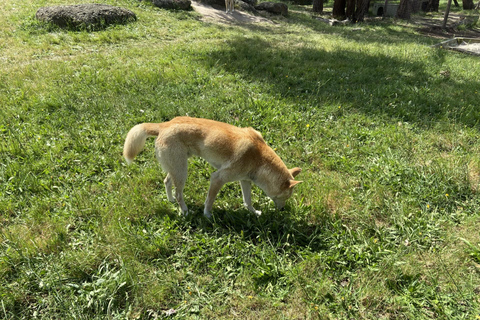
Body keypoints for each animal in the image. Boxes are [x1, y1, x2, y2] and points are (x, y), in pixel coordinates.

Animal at [124, 116, 304, 219]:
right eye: (286, 196)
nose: (282, 210)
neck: (260, 159)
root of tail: (163, 125)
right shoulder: (217, 178)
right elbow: (210, 200)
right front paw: (208, 215)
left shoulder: (245, 181)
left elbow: (248, 201)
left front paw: (254, 213)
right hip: (182, 171)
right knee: (178, 193)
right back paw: (184, 210)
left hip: (177, 167)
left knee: (167, 182)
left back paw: (171, 200)